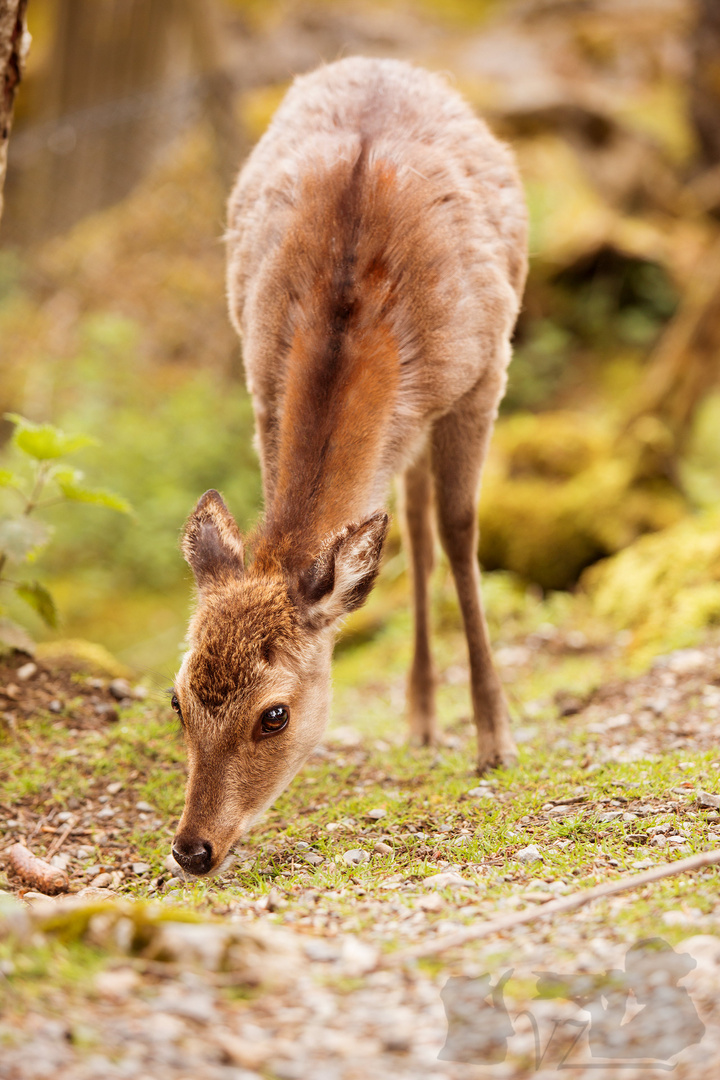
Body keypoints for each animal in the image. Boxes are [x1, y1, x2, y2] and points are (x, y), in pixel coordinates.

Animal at [171, 56, 526, 876]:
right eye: (178, 699)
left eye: (274, 714)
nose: (192, 849)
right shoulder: (260, 385)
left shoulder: (484, 373)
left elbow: (463, 530)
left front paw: (496, 740)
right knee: (411, 523)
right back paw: (420, 717)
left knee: (429, 525)